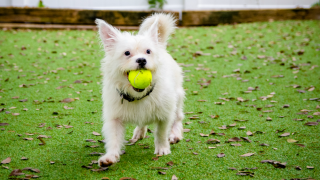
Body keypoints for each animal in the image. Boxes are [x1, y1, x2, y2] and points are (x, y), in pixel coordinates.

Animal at [95, 13, 185, 167]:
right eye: (127, 53)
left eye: (148, 51)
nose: (142, 60)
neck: (138, 95)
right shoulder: (114, 118)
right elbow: (113, 138)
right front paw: (110, 157)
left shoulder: (165, 114)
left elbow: (161, 133)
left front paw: (162, 148)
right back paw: (139, 132)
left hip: (178, 97)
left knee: (178, 117)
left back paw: (175, 134)